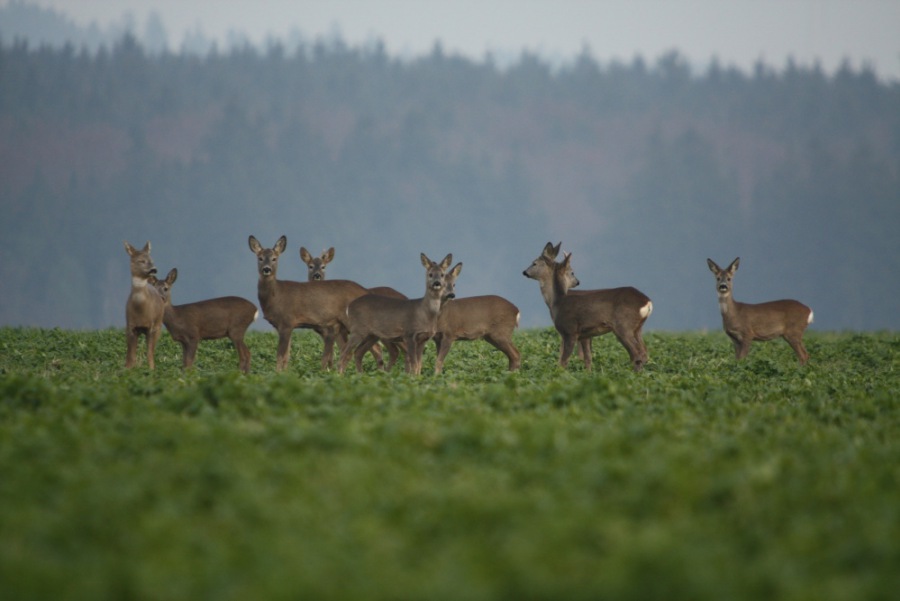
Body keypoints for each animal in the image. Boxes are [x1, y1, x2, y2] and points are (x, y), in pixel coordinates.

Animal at [124, 241, 165, 369]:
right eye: (141, 260)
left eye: (152, 259)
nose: (154, 269)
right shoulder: (130, 327)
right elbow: (130, 355)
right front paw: (128, 370)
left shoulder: (150, 327)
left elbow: (149, 354)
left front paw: (151, 370)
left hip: (158, 325)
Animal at [249, 235, 378, 371]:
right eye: (260, 258)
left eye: (274, 258)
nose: (266, 269)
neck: (275, 296)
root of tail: (365, 291)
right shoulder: (283, 326)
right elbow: (287, 356)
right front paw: (286, 373)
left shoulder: (287, 322)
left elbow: (280, 355)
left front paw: (278, 373)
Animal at [524, 245, 652, 372]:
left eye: (534, 263)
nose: (524, 272)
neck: (557, 301)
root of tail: (647, 301)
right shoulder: (585, 334)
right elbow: (588, 358)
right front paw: (588, 374)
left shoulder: (570, 330)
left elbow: (563, 361)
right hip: (637, 328)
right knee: (643, 353)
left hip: (623, 325)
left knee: (637, 354)